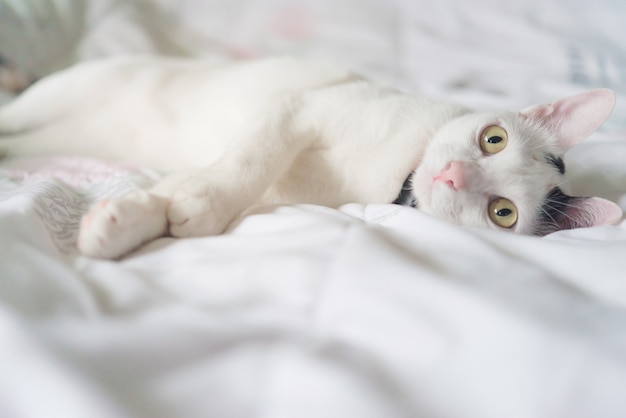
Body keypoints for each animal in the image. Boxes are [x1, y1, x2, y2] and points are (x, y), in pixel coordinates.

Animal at [0, 55, 620, 258]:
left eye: (502, 213)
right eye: (494, 139)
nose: (451, 173)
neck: (396, 174)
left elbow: (175, 190)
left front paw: (126, 223)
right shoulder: (297, 109)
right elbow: (249, 162)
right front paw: (205, 201)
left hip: (60, 133)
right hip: (61, 93)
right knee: (12, 111)